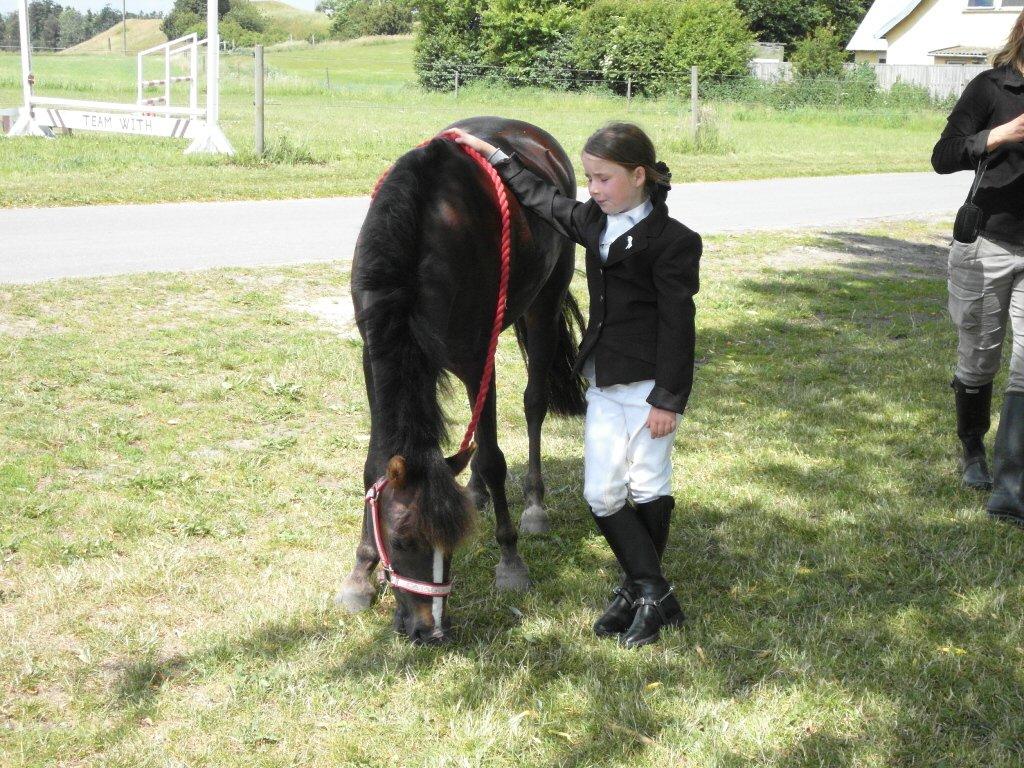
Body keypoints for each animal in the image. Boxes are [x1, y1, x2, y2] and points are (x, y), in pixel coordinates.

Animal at [337, 115, 585, 643]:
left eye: (451, 544)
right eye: (402, 539)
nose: (430, 631)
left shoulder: (475, 362)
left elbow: (494, 458)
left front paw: (510, 561)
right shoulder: (374, 358)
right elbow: (374, 464)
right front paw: (361, 574)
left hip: (544, 303)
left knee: (533, 403)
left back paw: (534, 506)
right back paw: (473, 490)